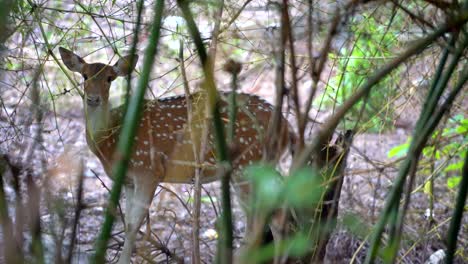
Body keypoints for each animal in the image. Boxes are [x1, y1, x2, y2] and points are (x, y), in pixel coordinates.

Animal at [59, 48, 292, 264]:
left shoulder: (148, 169)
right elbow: (127, 225)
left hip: (248, 163)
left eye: (109, 78)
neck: (110, 141)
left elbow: (134, 225)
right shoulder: (128, 181)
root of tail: (287, 129)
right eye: (85, 76)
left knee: (263, 220)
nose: (93, 98)